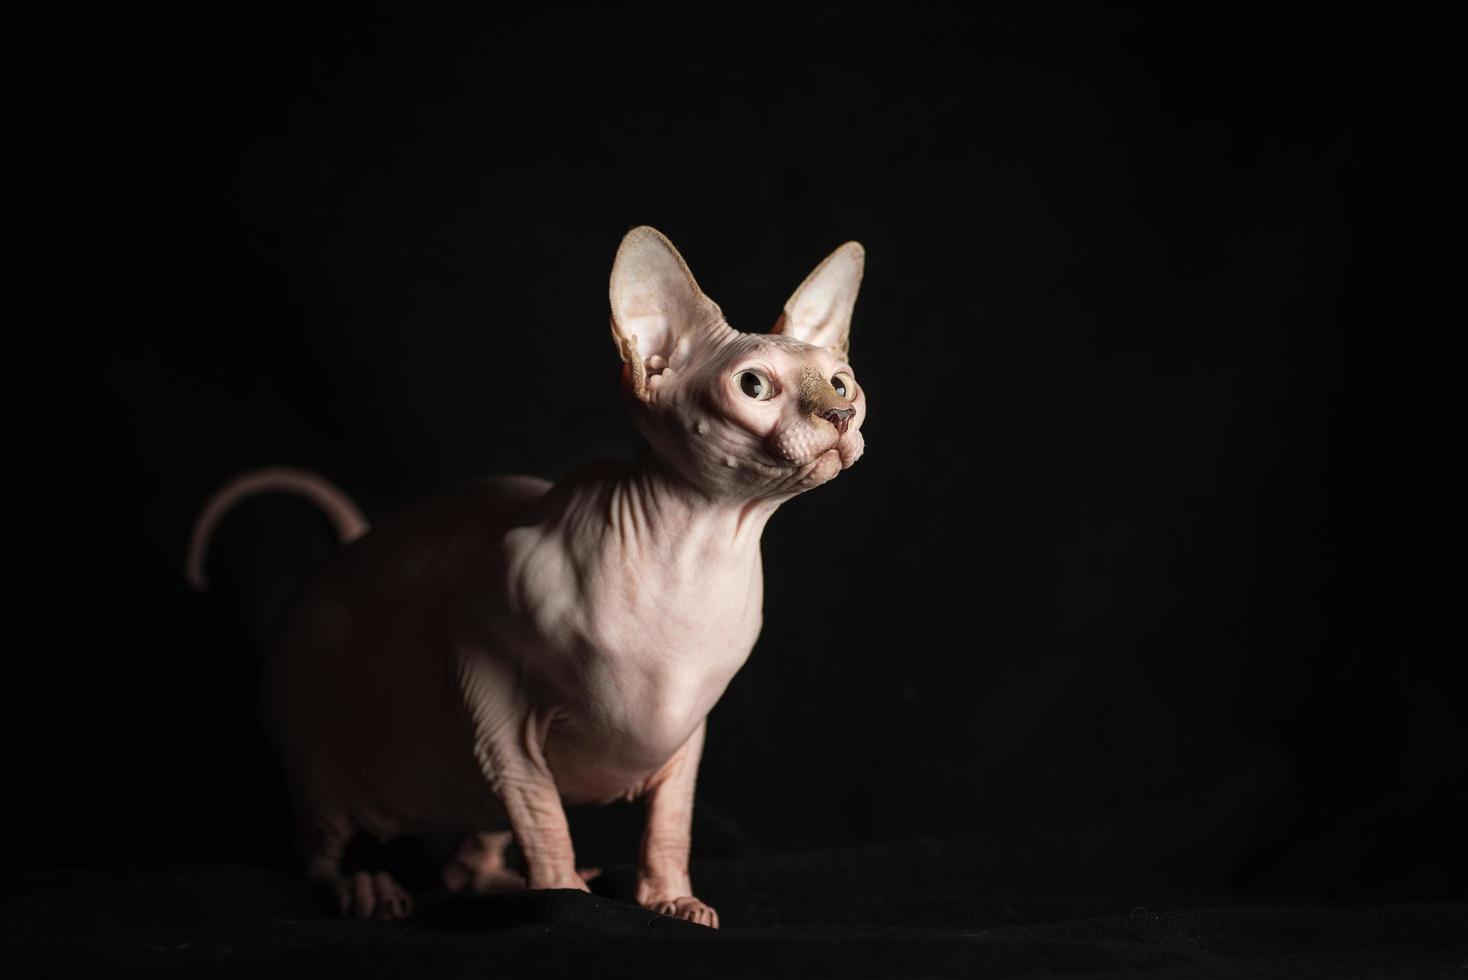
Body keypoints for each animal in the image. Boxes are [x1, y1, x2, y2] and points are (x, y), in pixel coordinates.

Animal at [187, 227, 863, 927]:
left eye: (842, 382)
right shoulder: (495, 701)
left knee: (462, 863)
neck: (701, 548)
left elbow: (669, 826)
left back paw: (498, 883)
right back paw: (365, 889)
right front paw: (565, 896)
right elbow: (543, 818)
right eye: (753, 385)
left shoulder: (687, 734)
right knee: (316, 851)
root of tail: (345, 554)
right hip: (322, 764)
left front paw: (669, 899)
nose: (841, 415)